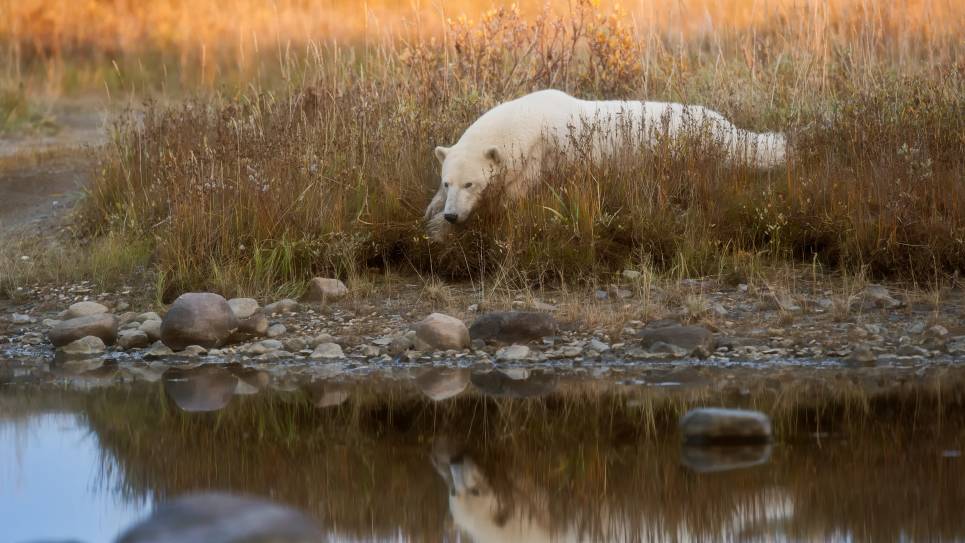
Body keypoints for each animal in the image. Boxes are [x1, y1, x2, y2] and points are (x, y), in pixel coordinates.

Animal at [424, 89, 786, 241]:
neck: (524, 122)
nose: (453, 215)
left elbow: (513, 197)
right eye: (447, 182)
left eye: (470, 183)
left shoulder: (537, 158)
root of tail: (727, 126)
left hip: (695, 152)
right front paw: (432, 212)